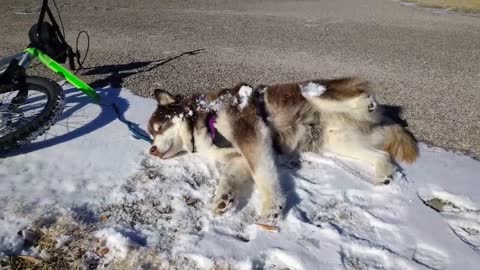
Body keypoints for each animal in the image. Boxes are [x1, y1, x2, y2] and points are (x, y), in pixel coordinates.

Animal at [146, 78, 416, 224]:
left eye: (158, 128)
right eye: (150, 134)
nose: (151, 149)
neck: (206, 116)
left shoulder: (252, 133)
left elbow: (263, 174)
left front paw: (271, 206)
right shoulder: (236, 157)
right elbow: (230, 176)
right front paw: (223, 198)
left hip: (316, 93)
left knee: (342, 95)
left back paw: (363, 103)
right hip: (341, 141)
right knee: (382, 154)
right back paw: (383, 172)